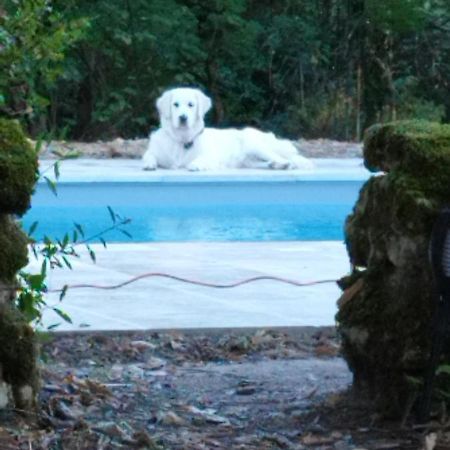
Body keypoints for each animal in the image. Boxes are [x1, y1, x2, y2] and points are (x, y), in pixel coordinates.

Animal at [143, 88, 312, 171]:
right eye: (175, 104)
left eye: (191, 105)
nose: (183, 118)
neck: (182, 140)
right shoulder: (153, 151)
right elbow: (148, 156)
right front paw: (149, 164)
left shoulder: (212, 156)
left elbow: (201, 159)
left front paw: (196, 165)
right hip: (249, 162)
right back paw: (275, 165)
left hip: (255, 145)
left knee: (284, 158)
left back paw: (285, 164)